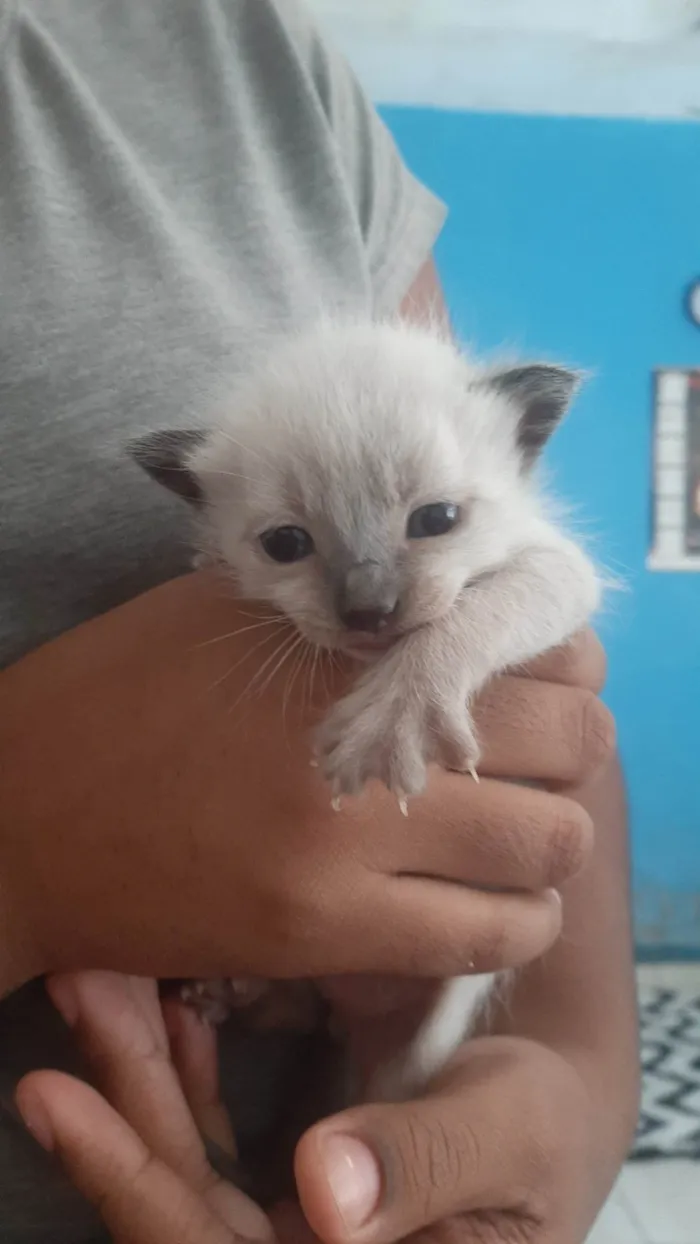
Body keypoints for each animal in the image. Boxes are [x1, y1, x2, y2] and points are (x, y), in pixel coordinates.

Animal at [128, 315, 599, 1104]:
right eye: (286, 543)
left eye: (437, 519)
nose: (369, 611)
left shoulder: (560, 567)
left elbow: (484, 608)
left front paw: (397, 716)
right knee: (299, 1009)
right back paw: (234, 990)